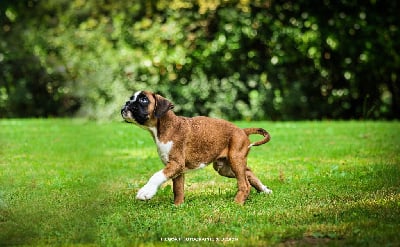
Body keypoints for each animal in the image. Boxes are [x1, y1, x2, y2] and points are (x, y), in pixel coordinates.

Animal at [122, 90, 272, 205]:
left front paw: (146, 192)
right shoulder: (177, 169)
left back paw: (237, 203)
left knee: (244, 185)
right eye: (131, 98)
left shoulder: (175, 164)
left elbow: (157, 175)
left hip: (235, 159)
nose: (127, 103)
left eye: (143, 100)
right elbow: (178, 189)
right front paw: (178, 206)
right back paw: (264, 190)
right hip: (225, 167)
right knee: (248, 172)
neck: (164, 127)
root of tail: (242, 130)